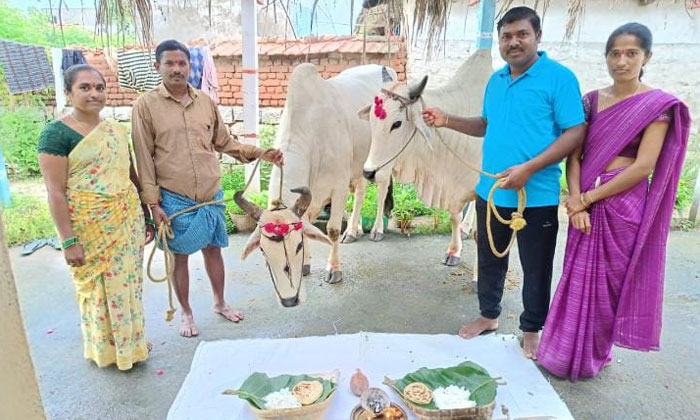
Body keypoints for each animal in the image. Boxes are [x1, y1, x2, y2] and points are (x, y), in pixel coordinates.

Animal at [268, 63, 396, 282]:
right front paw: (306, 265)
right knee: (360, 193)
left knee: (381, 191)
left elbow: (333, 230)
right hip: (359, 165)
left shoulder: (338, 186)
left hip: (384, 161)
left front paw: (334, 269)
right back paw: (353, 231)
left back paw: (377, 230)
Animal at [360, 49, 492, 266]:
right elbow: (454, 216)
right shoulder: (453, 184)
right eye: (371, 118)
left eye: (396, 124)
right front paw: (454, 250)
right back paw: (465, 227)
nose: (369, 173)